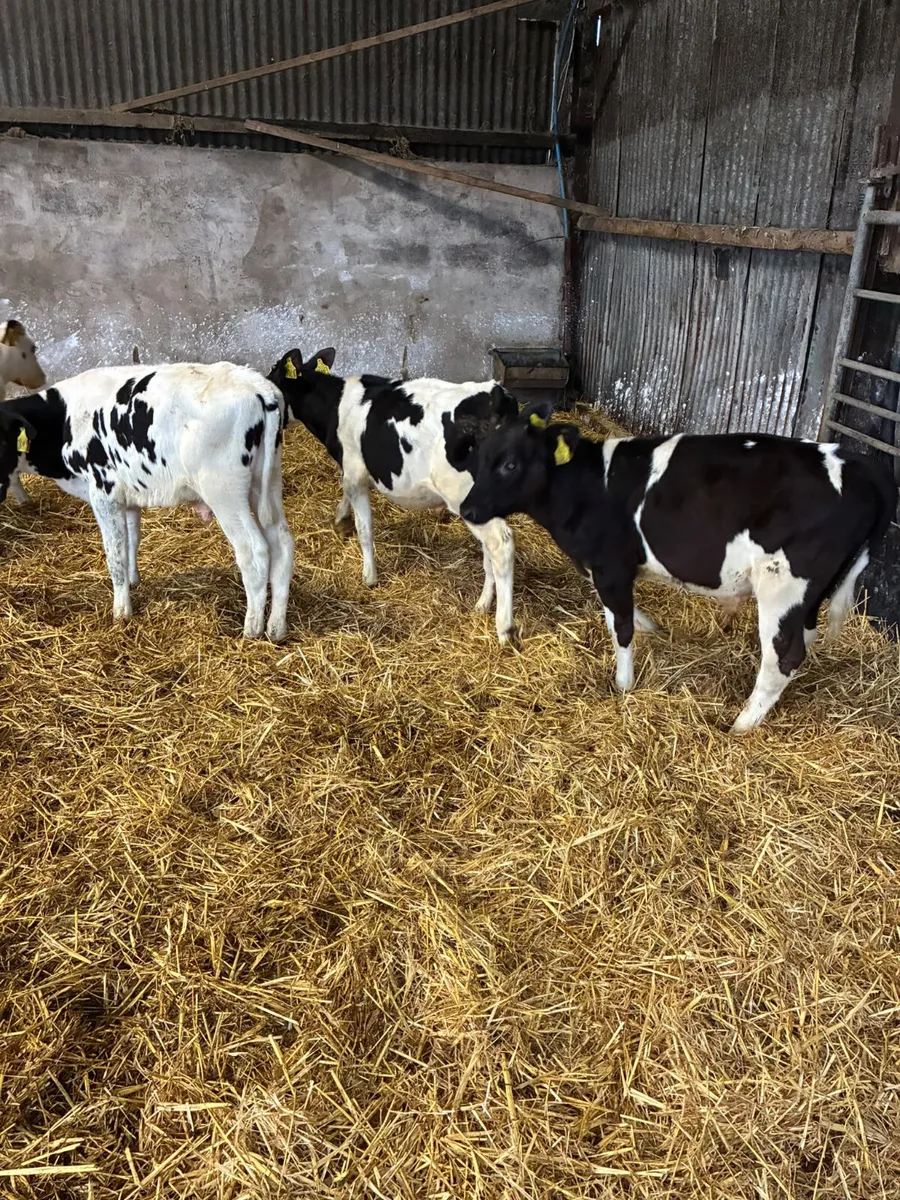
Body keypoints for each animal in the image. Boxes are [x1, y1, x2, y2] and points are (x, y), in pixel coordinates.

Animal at [0, 363, 295, 639]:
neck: (64, 419)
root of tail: (257, 385)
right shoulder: (128, 498)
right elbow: (130, 541)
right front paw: (133, 583)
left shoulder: (104, 493)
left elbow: (114, 554)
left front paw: (121, 612)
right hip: (266, 484)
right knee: (282, 544)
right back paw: (276, 627)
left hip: (224, 491)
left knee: (254, 550)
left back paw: (252, 628)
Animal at [269, 347, 520, 644]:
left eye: (271, 378)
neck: (335, 406)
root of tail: (496, 395)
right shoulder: (353, 472)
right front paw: (340, 520)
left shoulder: (354, 473)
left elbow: (365, 528)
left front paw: (369, 576)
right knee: (490, 549)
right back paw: (483, 604)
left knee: (501, 545)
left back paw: (504, 628)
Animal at [459, 402, 897, 732]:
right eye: (478, 458)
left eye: (510, 465)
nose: (468, 509)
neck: (589, 487)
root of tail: (855, 462)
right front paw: (652, 629)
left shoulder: (610, 567)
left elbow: (620, 628)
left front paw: (623, 686)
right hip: (812, 591)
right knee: (805, 637)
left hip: (783, 584)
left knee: (782, 656)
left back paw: (740, 725)